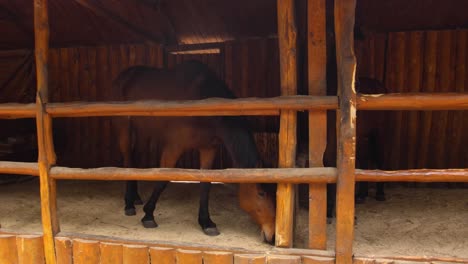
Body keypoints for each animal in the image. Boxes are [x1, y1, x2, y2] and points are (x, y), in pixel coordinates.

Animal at [110, 60, 278, 243]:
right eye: (261, 193)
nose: (273, 236)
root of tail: (124, 76)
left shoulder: (208, 149)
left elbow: (205, 185)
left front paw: (206, 222)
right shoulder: (174, 146)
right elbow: (162, 179)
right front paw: (148, 215)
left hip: (142, 131)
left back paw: (136, 197)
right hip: (125, 127)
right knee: (127, 158)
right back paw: (129, 203)